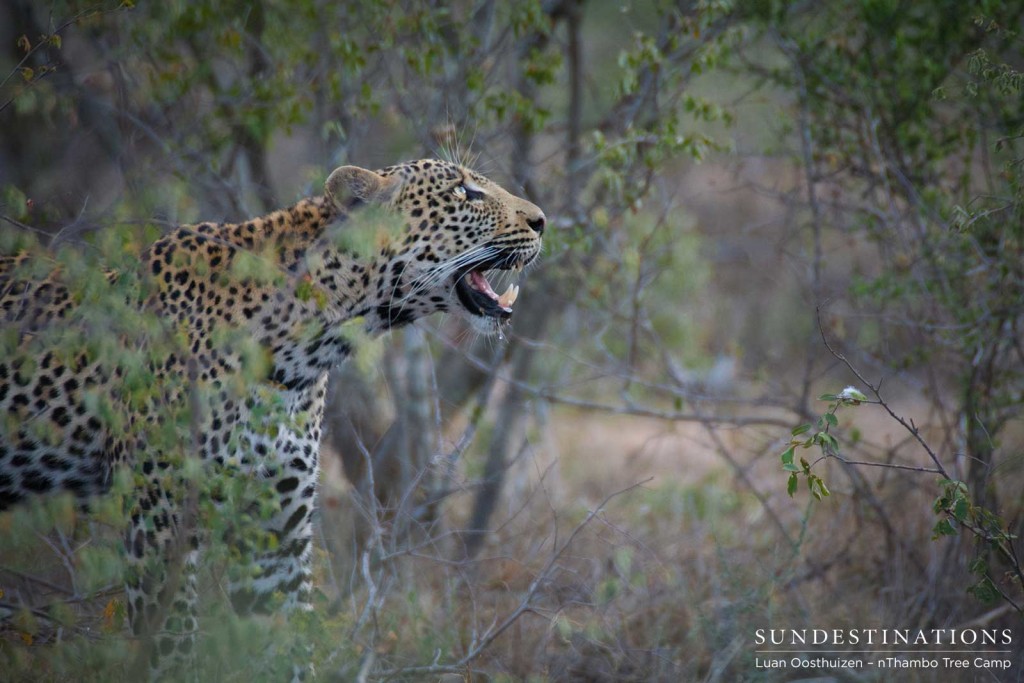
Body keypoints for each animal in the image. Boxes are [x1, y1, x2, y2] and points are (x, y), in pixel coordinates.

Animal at [0, 160, 544, 679]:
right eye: (464, 192)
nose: (541, 220)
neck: (302, 351)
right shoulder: (158, 521)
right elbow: (171, 649)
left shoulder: (276, 530)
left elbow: (286, 645)